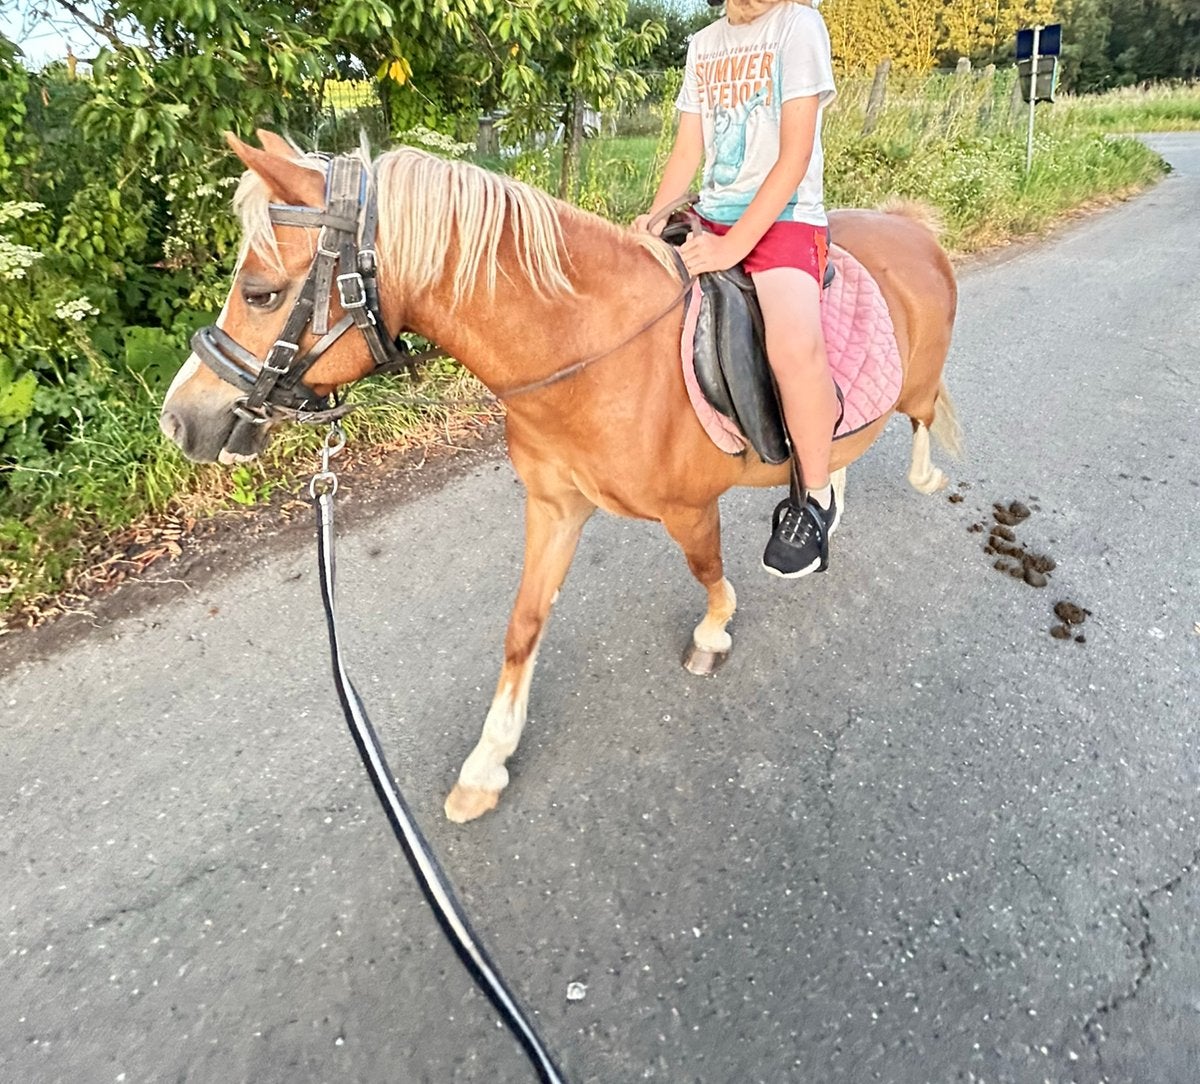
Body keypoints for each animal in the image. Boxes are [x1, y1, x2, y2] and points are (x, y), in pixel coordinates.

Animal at [161, 130, 960, 824]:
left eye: (261, 292)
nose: (179, 420)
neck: (593, 352)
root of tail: (911, 227)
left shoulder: (688, 509)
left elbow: (708, 571)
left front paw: (714, 634)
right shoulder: (554, 507)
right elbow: (523, 625)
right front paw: (487, 765)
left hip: (911, 383)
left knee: (919, 416)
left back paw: (902, 485)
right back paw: (820, 511)